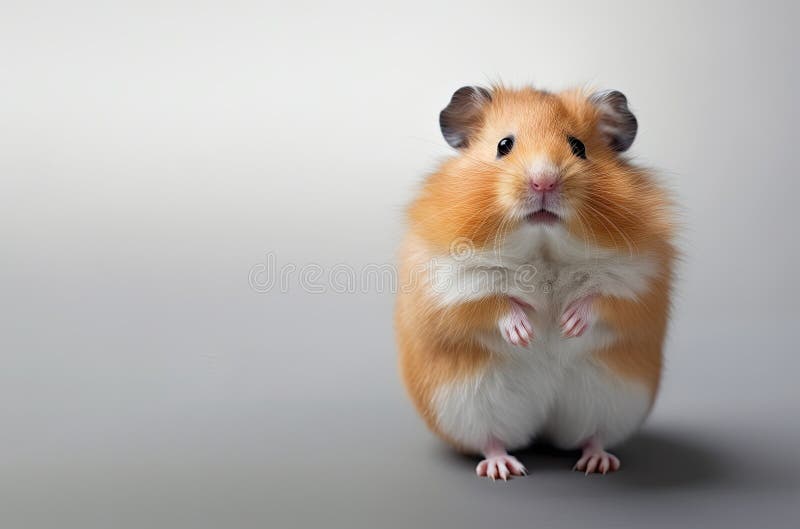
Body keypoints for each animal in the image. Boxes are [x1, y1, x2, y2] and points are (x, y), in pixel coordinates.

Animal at [395, 84, 676, 479]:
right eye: (503, 145)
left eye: (579, 147)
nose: (544, 180)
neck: (543, 246)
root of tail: (541, 428)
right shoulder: (448, 281)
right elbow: (491, 300)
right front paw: (525, 332)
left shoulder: (641, 278)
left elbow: (603, 296)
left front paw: (568, 325)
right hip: (465, 405)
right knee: (491, 439)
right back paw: (503, 469)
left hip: (613, 400)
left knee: (593, 436)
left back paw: (597, 464)